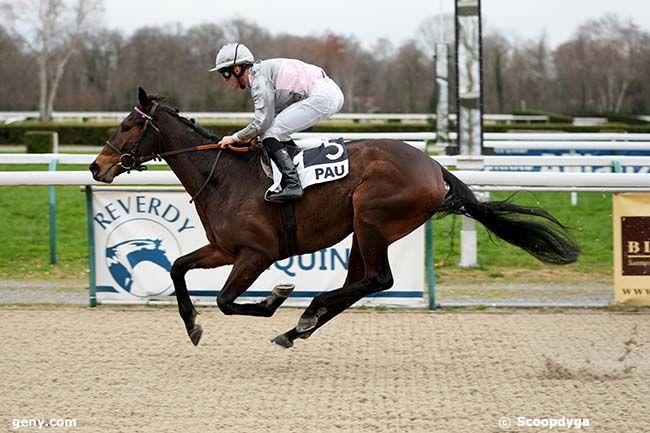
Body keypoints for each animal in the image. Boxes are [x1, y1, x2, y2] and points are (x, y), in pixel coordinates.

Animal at [90, 87, 576, 348]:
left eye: (128, 126)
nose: (97, 166)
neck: (224, 176)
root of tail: (436, 167)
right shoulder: (225, 248)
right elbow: (176, 267)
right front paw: (192, 325)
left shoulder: (257, 253)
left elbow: (228, 301)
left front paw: (277, 296)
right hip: (363, 229)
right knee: (359, 282)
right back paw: (299, 327)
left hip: (371, 217)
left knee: (377, 279)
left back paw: (306, 313)